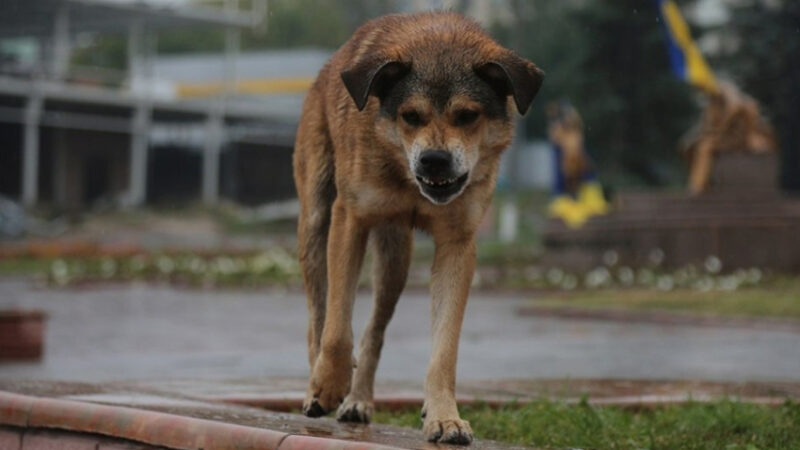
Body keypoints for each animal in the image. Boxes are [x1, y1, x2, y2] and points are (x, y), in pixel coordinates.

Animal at [294, 12, 544, 444]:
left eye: (467, 115)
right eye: (410, 116)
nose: (434, 160)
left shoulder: (458, 244)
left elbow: (444, 349)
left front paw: (444, 417)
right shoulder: (350, 218)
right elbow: (337, 326)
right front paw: (328, 384)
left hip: (395, 261)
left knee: (375, 330)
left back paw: (359, 401)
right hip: (315, 222)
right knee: (318, 316)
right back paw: (318, 386)